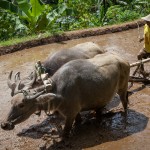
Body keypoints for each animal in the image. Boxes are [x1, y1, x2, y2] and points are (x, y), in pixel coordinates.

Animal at [1, 52, 129, 137]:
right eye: (11, 102)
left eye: (21, 105)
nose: (4, 124)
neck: (57, 90)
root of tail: (123, 60)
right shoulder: (75, 113)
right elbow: (78, 122)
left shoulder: (70, 114)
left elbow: (65, 133)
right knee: (100, 109)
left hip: (123, 88)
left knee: (124, 102)